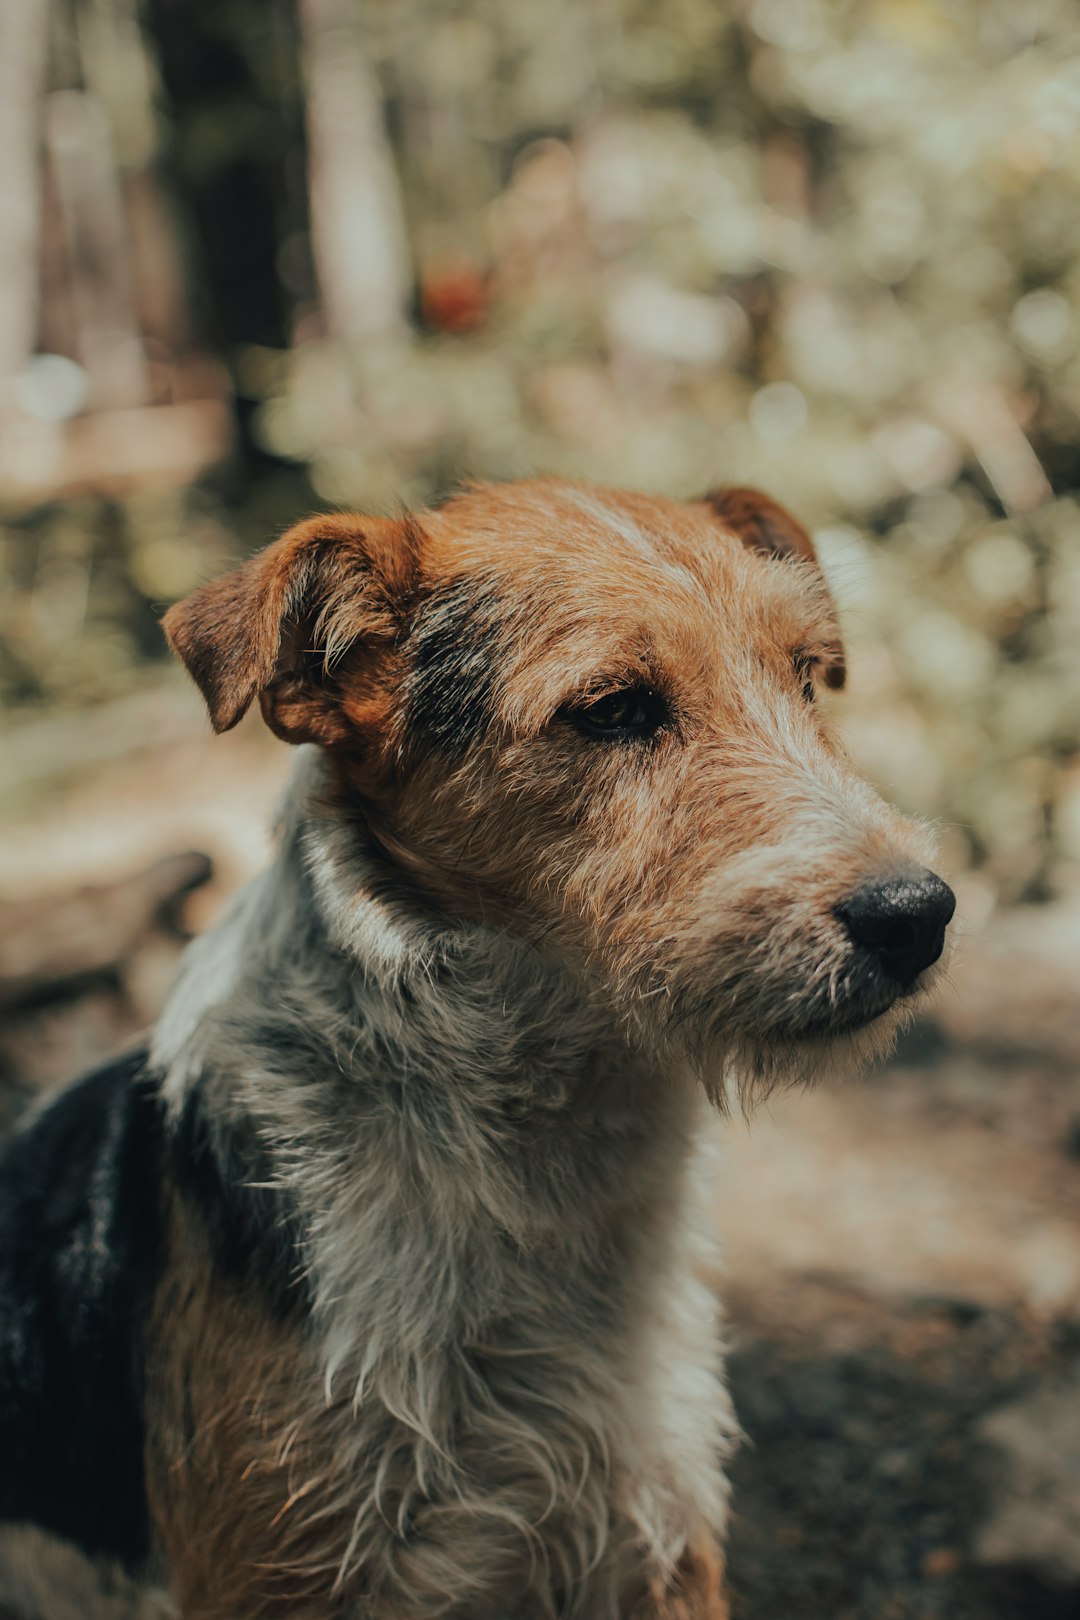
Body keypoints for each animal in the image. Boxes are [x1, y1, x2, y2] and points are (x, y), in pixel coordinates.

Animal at [0, 479, 952, 1620]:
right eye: (613, 708)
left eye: (807, 676)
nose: (918, 915)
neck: (542, 1169)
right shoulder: (286, 1572)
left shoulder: (658, 1536)